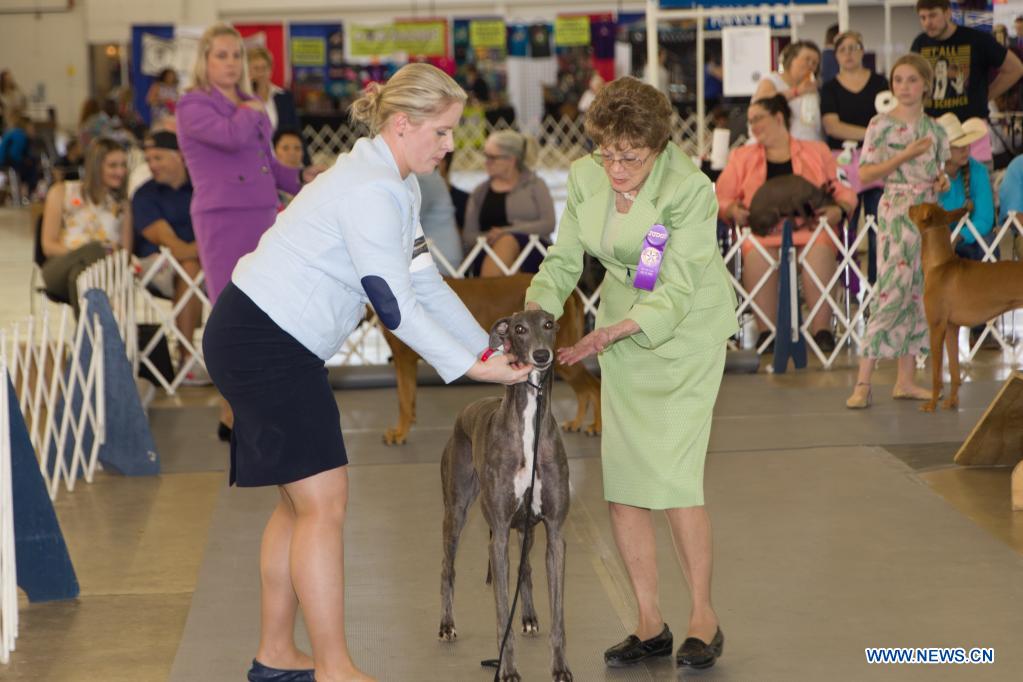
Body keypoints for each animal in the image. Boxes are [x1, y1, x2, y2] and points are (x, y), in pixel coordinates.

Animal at [908, 202, 1023, 413]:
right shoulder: (952, 328)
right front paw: (952, 402)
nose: (910, 206)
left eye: (919, 207)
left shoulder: (936, 328)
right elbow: (954, 371)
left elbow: (936, 374)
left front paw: (932, 404)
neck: (940, 265)